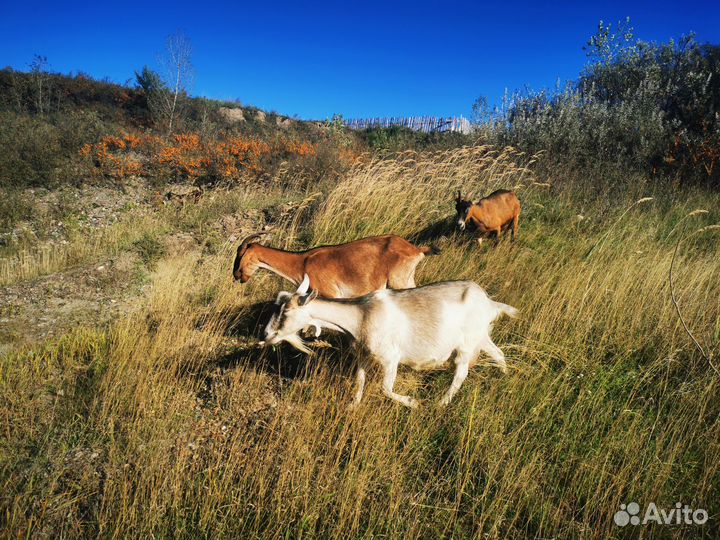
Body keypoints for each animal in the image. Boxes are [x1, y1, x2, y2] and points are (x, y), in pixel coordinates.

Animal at [233, 234, 438, 298]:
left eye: (241, 255)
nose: (236, 275)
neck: (302, 262)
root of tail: (416, 250)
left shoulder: (331, 294)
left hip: (399, 282)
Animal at [263, 274, 518, 407]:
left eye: (285, 313)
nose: (265, 335)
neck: (360, 317)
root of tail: (489, 303)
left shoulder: (390, 358)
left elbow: (385, 388)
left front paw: (412, 402)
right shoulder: (364, 355)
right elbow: (359, 381)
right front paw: (353, 405)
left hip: (465, 346)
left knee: (460, 374)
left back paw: (441, 403)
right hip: (481, 337)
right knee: (498, 354)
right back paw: (504, 378)